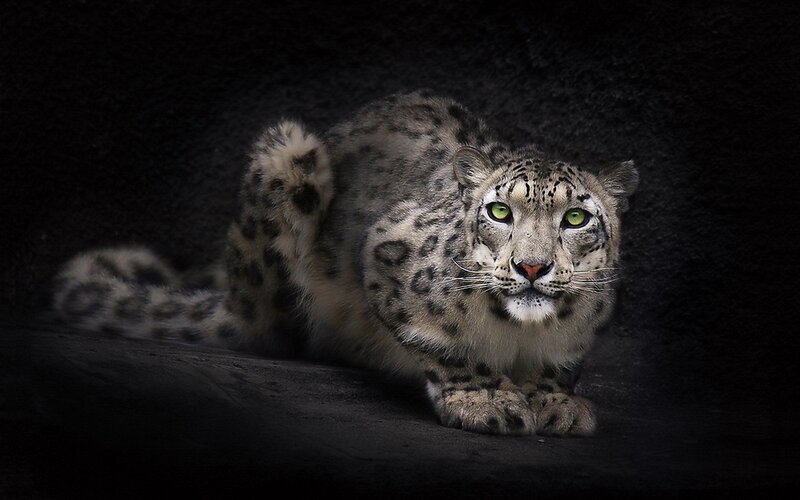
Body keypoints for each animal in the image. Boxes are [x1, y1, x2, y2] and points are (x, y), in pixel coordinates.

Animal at [53, 90, 638, 436]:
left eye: (576, 218)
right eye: (499, 210)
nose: (531, 268)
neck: (520, 334)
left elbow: (560, 364)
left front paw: (555, 402)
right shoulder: (387, 252)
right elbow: (443, 345)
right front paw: (486, 398)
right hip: (288, 158)